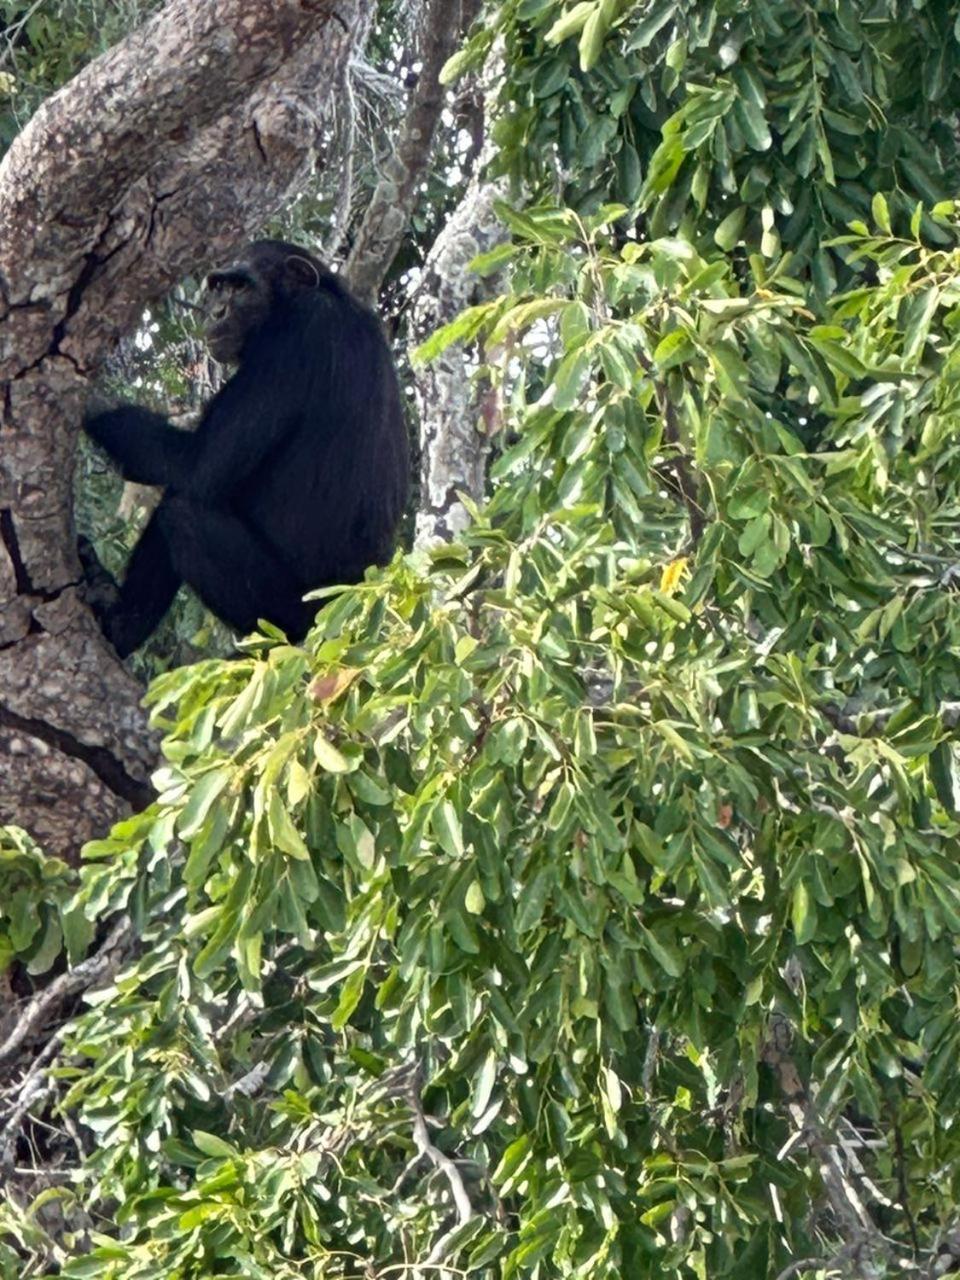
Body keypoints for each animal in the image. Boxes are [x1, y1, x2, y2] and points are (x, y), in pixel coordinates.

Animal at [82, 238, 409, 660]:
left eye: (240, 287)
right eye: (220, 286)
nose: (216, 310)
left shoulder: (292, 341)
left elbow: (197, 464)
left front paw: (88, 396)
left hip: (292, 610)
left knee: (181, 513)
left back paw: (120, 624)